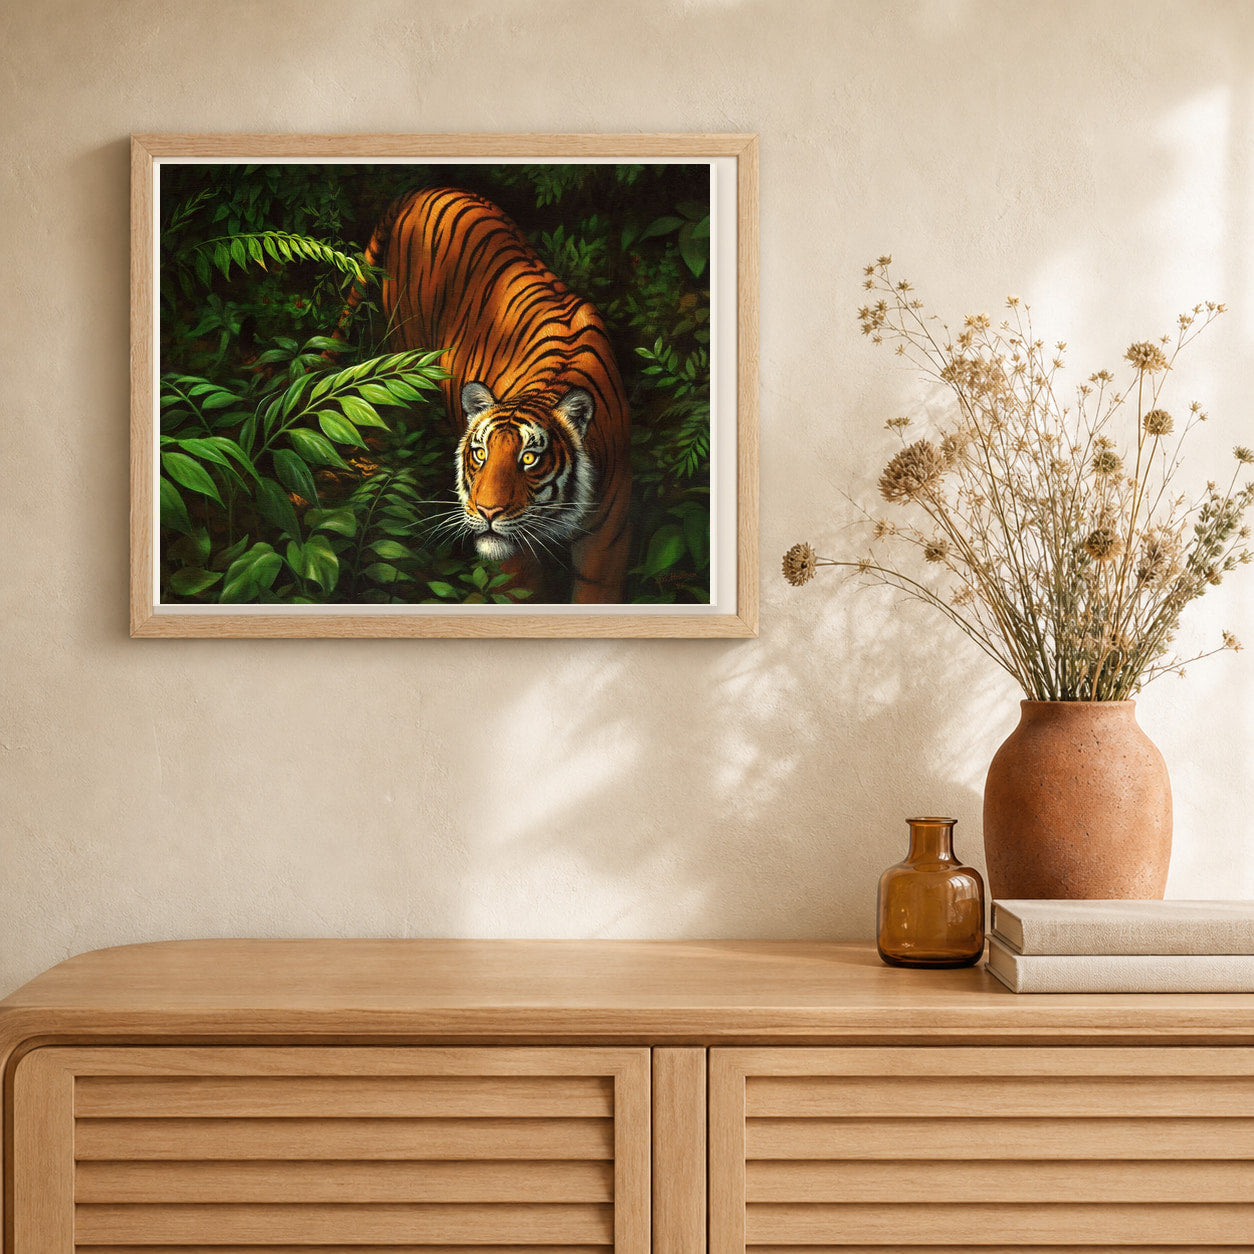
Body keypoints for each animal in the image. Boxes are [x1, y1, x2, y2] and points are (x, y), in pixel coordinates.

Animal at [346, 187, 631, 604]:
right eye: (480, 454)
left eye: (529, 458)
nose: (487, 512)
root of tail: (424, 190)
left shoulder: (607, 541)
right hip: (406, 355)